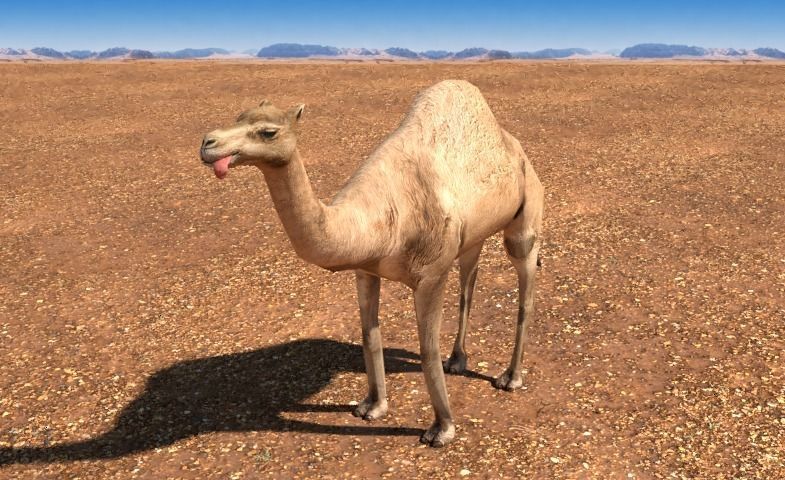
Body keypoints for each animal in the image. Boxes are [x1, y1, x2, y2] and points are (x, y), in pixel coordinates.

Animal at [199, 80, 544, 447]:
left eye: (268, 132)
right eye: (239, 115)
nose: (208, 143)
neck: (377, 220)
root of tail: (515, 146)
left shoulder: (431, 275)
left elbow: (426, 350)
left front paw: (442, 429)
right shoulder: (365, 270)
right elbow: (369, 334)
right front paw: (372, 406)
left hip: (525, 219)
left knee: (524, 287)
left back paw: (510, 377)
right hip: (473, 235)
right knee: (469, 277)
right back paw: (457, 360)